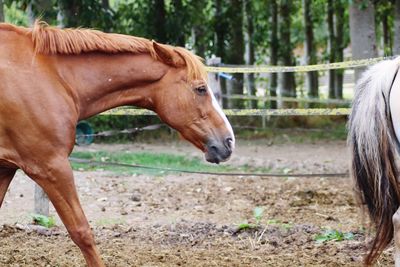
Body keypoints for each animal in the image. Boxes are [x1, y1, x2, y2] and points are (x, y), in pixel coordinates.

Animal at [0, 21, 234, 267]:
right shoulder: (51, 168)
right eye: (200, 89)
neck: (52, 76)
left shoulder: (6, 168)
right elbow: (82, 232)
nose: (229, 141)